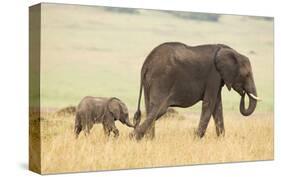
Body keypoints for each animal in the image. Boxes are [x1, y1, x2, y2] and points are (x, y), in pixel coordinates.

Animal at [130, 42, 260, 140]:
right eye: (246, 75)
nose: (243, 93)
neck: (231, 51)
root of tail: (146, 64)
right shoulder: (214, 76)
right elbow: (209, 104)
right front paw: (196, 139)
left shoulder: (218, 79)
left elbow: (217, 107)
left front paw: (222, 140)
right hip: (162, 79)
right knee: (159, 109)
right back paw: (132, 138)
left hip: (150, 83)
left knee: (150, 108)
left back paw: (149, 140)